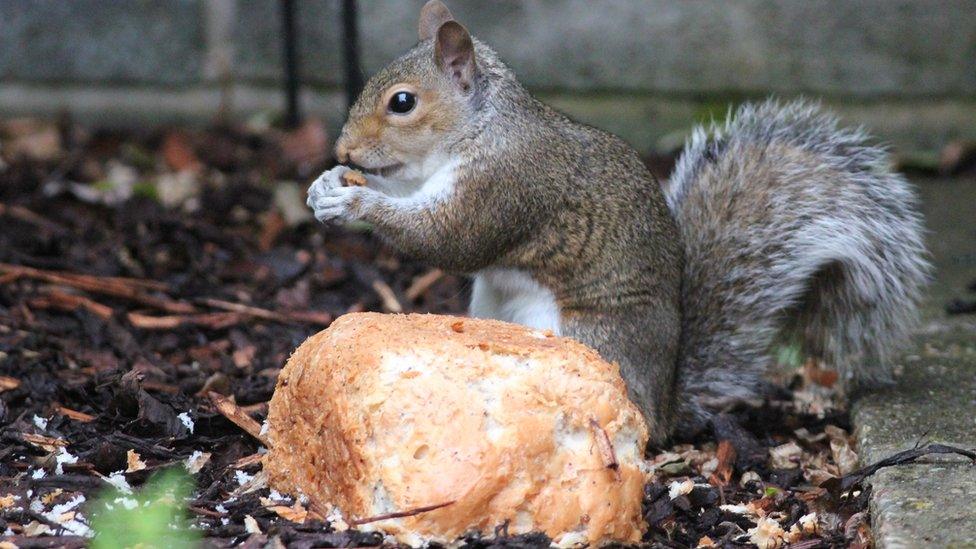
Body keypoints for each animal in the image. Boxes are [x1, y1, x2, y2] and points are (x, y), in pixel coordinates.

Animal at [306, 1, 932, 440]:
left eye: (402, 102)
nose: (341, 149)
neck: (478, 129)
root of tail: (663, 404)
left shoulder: (509, 183)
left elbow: (451, 239)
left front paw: (356, 205)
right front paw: (327, 186)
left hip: (592, 338)